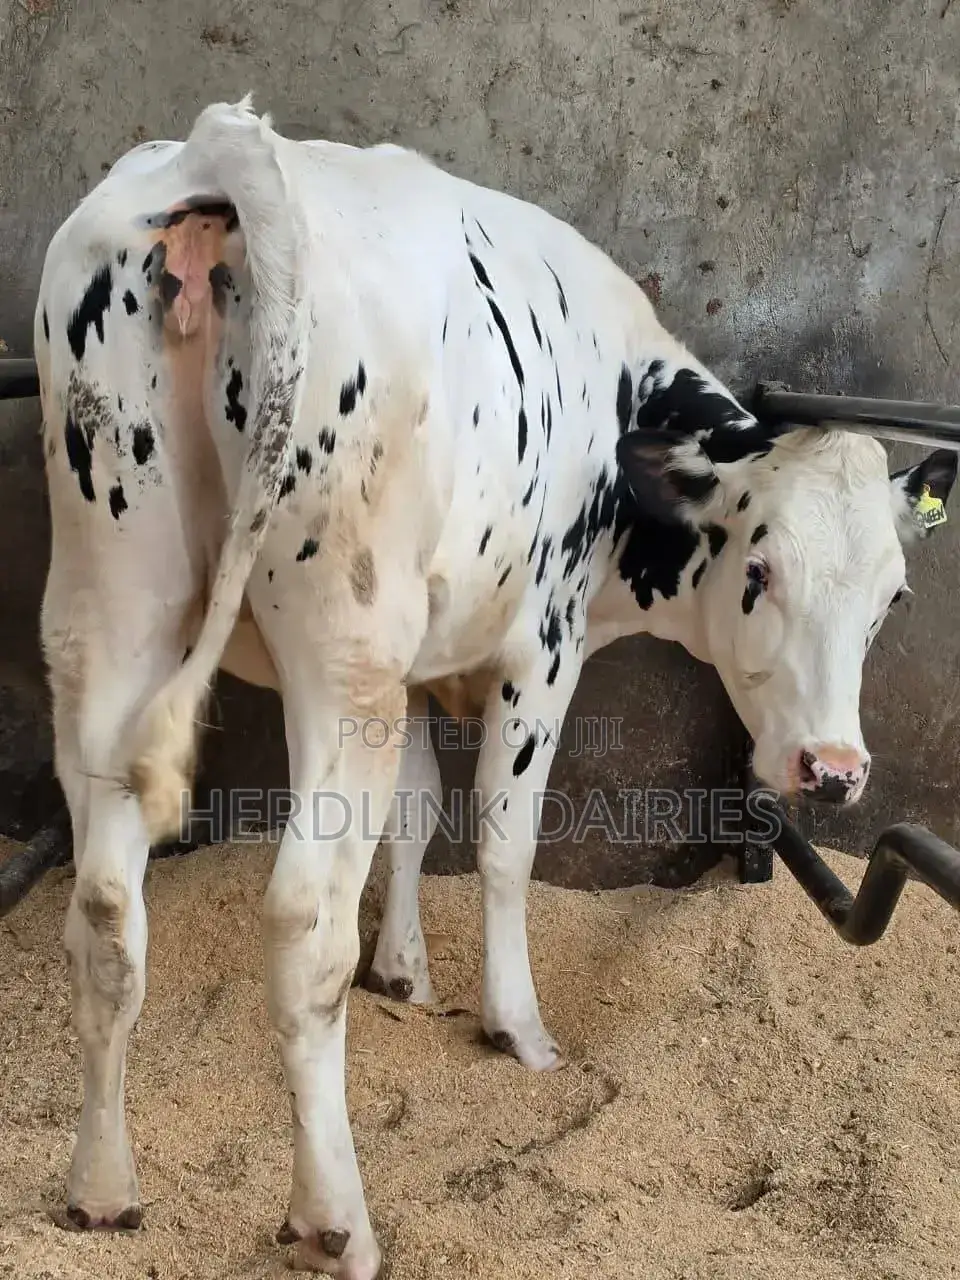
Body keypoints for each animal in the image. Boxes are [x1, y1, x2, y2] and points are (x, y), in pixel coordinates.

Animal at [33, 96, 955, 1277]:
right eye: (759, 571)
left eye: (893, 596)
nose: (833, 770)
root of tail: (225, 144)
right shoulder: (540, 651)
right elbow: (506, 841)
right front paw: (514, 1024)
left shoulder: (429, 662)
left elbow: (417, 814)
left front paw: (405, 973)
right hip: (343, 657)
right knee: (299, 920)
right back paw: (336, 1219)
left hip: (112, 612)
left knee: (107, 904)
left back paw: (101, 1189)